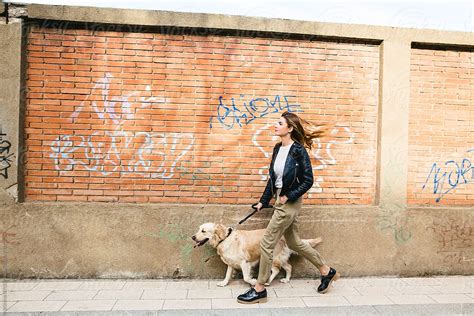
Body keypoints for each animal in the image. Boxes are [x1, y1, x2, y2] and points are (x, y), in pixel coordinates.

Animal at [192, 222, 322, 286]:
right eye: (199, 229)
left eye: (203, 231)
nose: (193, 237)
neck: (225, 238)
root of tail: (283, 236)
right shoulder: (231, 262)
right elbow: (227, 274)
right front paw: (224, 283)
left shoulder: (245, 262)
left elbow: (245, 277)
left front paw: (253, 281)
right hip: (280, 257)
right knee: (289, 267)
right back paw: (286, 280)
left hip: (273, 256)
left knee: (276, 270)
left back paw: (267, 281)